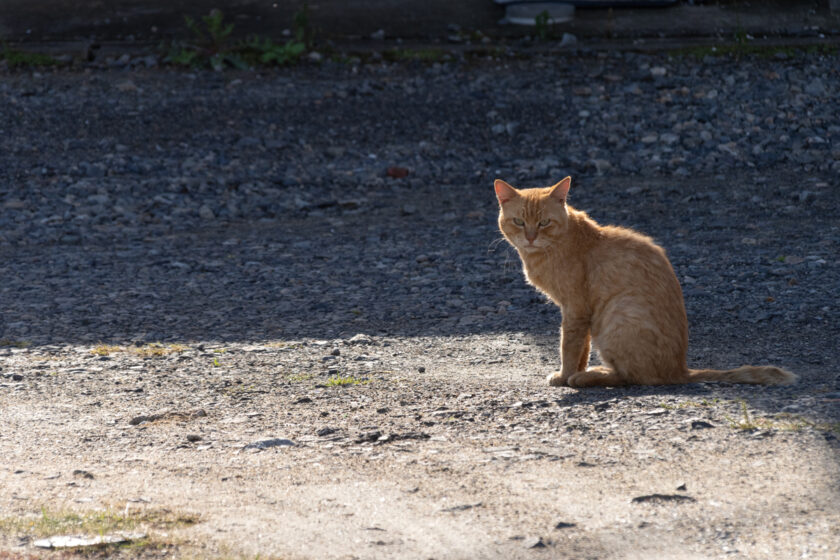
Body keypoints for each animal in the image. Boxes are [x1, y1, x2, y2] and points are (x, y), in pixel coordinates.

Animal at [496, 177, 796, 388]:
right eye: (519, 221)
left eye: (544, 222)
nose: (530, 237)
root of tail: (679, 370)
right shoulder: (581, 314)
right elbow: (583, 348)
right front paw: (574, 371)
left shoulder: (575, 309)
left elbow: (568, 347)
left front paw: (565, 376)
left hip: (618, 316)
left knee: (633, 377)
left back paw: (589, 377)